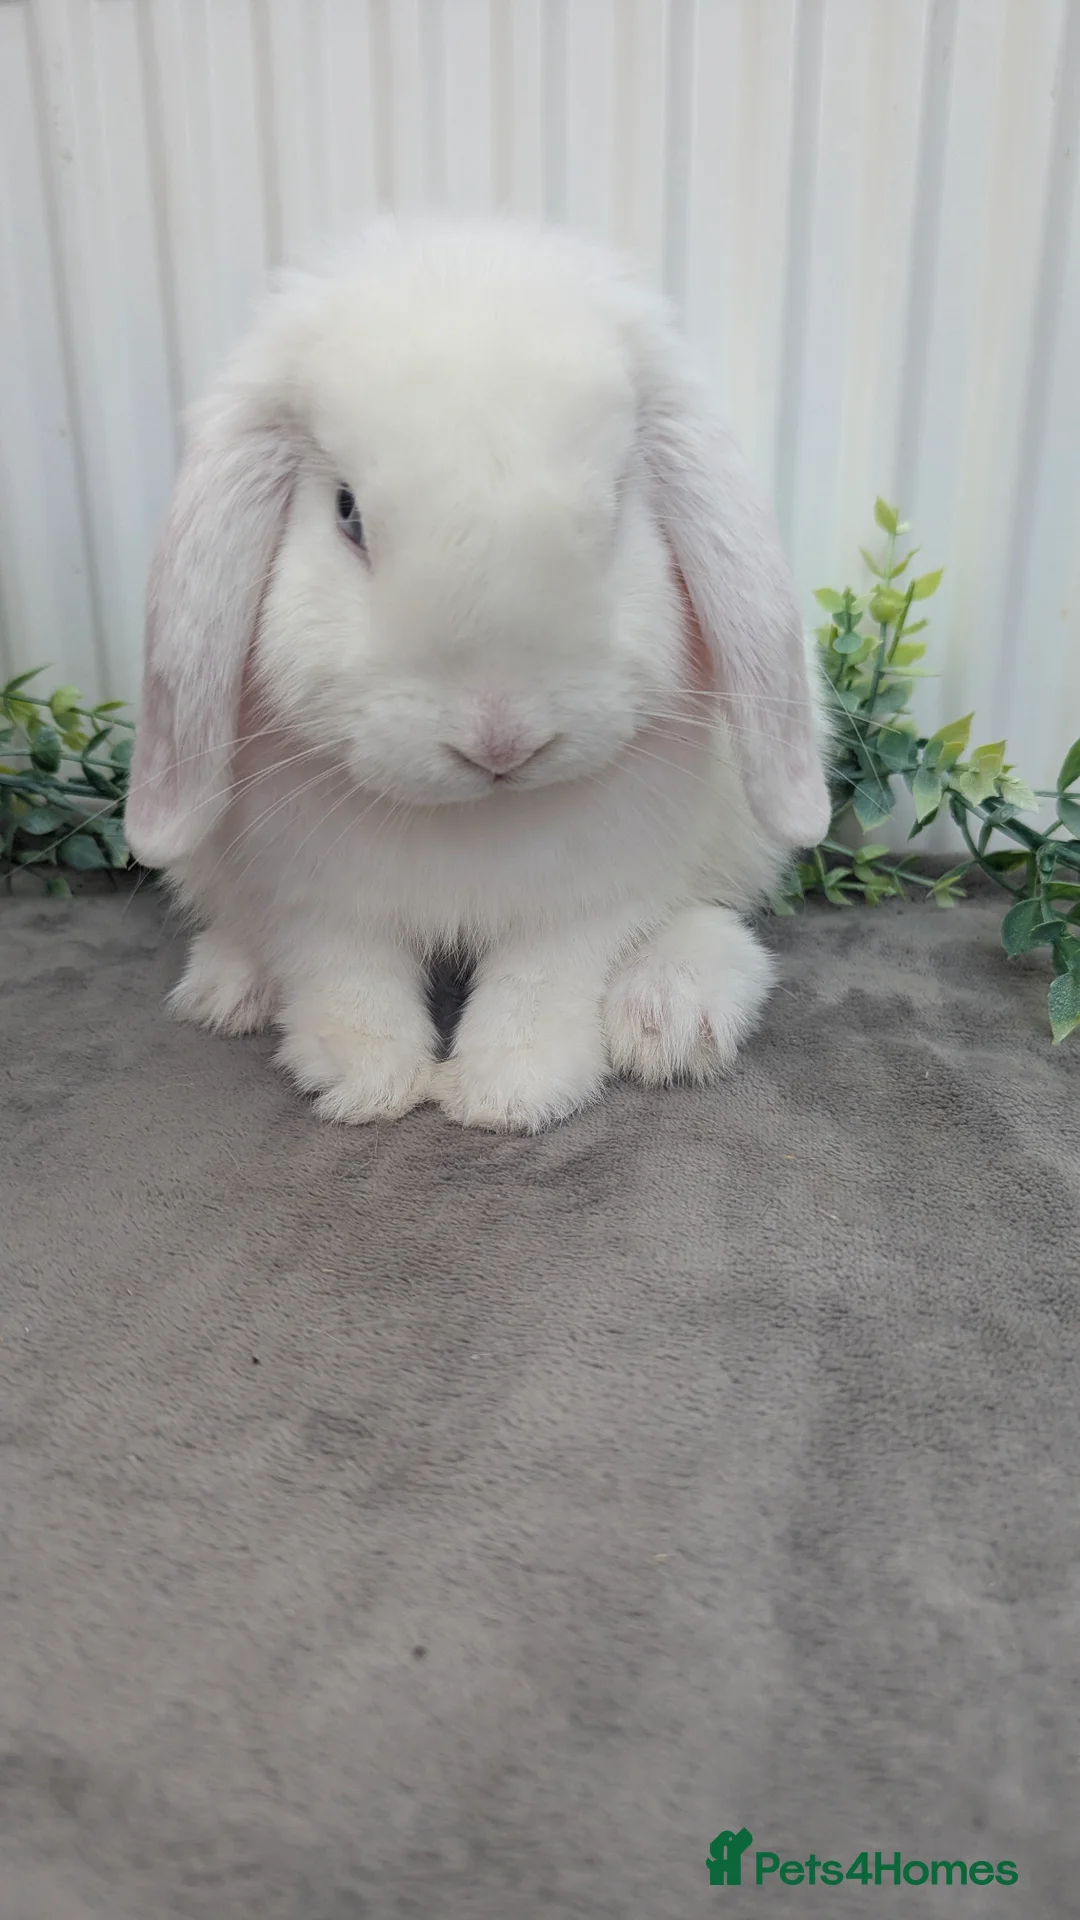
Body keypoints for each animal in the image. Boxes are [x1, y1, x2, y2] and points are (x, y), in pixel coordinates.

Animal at [125, 216, 831, 1134]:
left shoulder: (585, 898)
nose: (501, 740)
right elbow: (349, 980)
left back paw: (673, 1015)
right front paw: (369, 1084)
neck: (472, 818)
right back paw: (228, 989)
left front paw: (508, 1095)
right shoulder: (317, 898)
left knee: (706, 920)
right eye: (347, 513)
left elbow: (541, 985)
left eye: (614, 507)